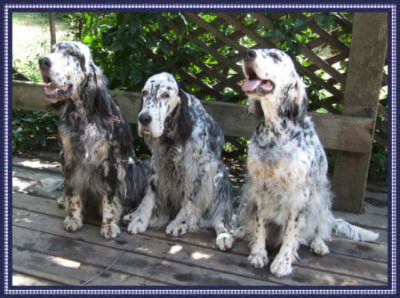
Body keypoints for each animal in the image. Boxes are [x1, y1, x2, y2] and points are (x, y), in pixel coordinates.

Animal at [38, 41, 148, 240]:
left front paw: (109, 224)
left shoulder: (110, 162)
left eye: (72, 53)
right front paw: (73, 218)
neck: (84, 116)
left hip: (136, 168)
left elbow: (109, 197)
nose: (43, 61)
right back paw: (63, 199)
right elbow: (73, 191)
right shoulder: (69, 158)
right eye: (52, 50)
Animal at [122, 73, 234, 251]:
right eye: (144, 93)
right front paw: (140, 220)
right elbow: (148, 198)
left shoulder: (197, 168)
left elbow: (188, 200)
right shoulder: (157, 164)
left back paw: (223, 235)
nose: (144, 118)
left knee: (219, 219)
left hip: (218, 178)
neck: (172, 132)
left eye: (165, 95)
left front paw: (179, 223)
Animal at [236, 48, 380, 278]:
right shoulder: (257, 186)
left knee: (322, 227)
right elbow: (259, 223)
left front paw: (283, 261)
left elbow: (292, 231)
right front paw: (258, 252)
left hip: (320, 200)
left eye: (275, 56)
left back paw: (319, 244)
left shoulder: (299, 193)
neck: (276, 134)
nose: (247, 53)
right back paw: (242, 230)